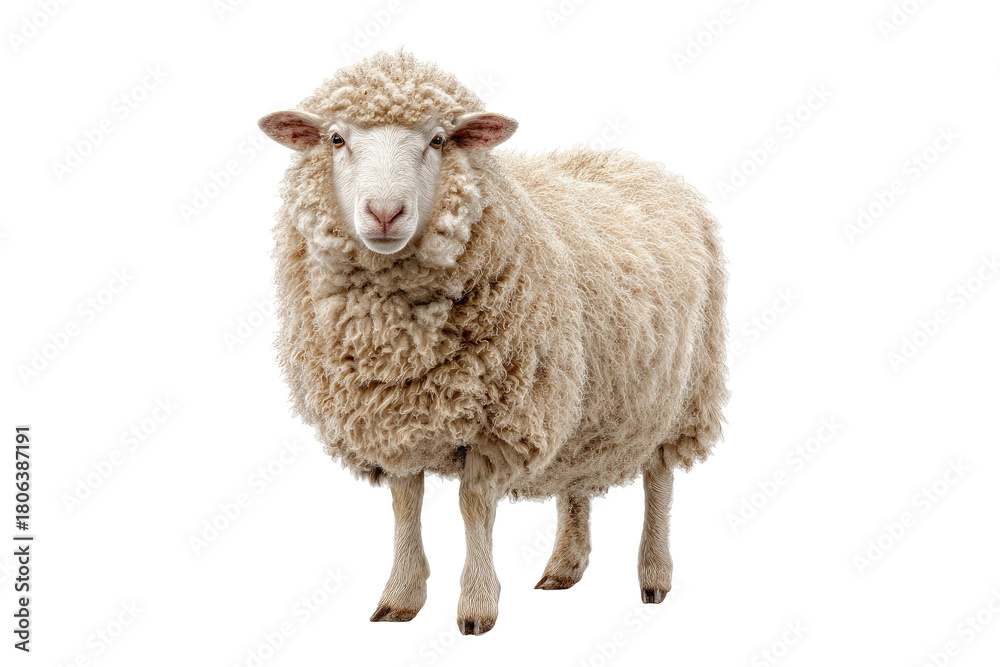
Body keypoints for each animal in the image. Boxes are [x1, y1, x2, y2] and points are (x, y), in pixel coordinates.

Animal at [258, 50, 728, 635]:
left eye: (438, 140)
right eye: (336, 139)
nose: (385, 213)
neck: (399, 342)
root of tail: (635, 164)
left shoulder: (500, 418)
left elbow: (473, 506)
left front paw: (477, 606)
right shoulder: (392, 416)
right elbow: (405, 503)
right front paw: (401, 597)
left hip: (682, 391)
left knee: (660, 478)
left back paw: (654, 576)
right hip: (582, 392)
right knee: (576, 476)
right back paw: (564, 566)